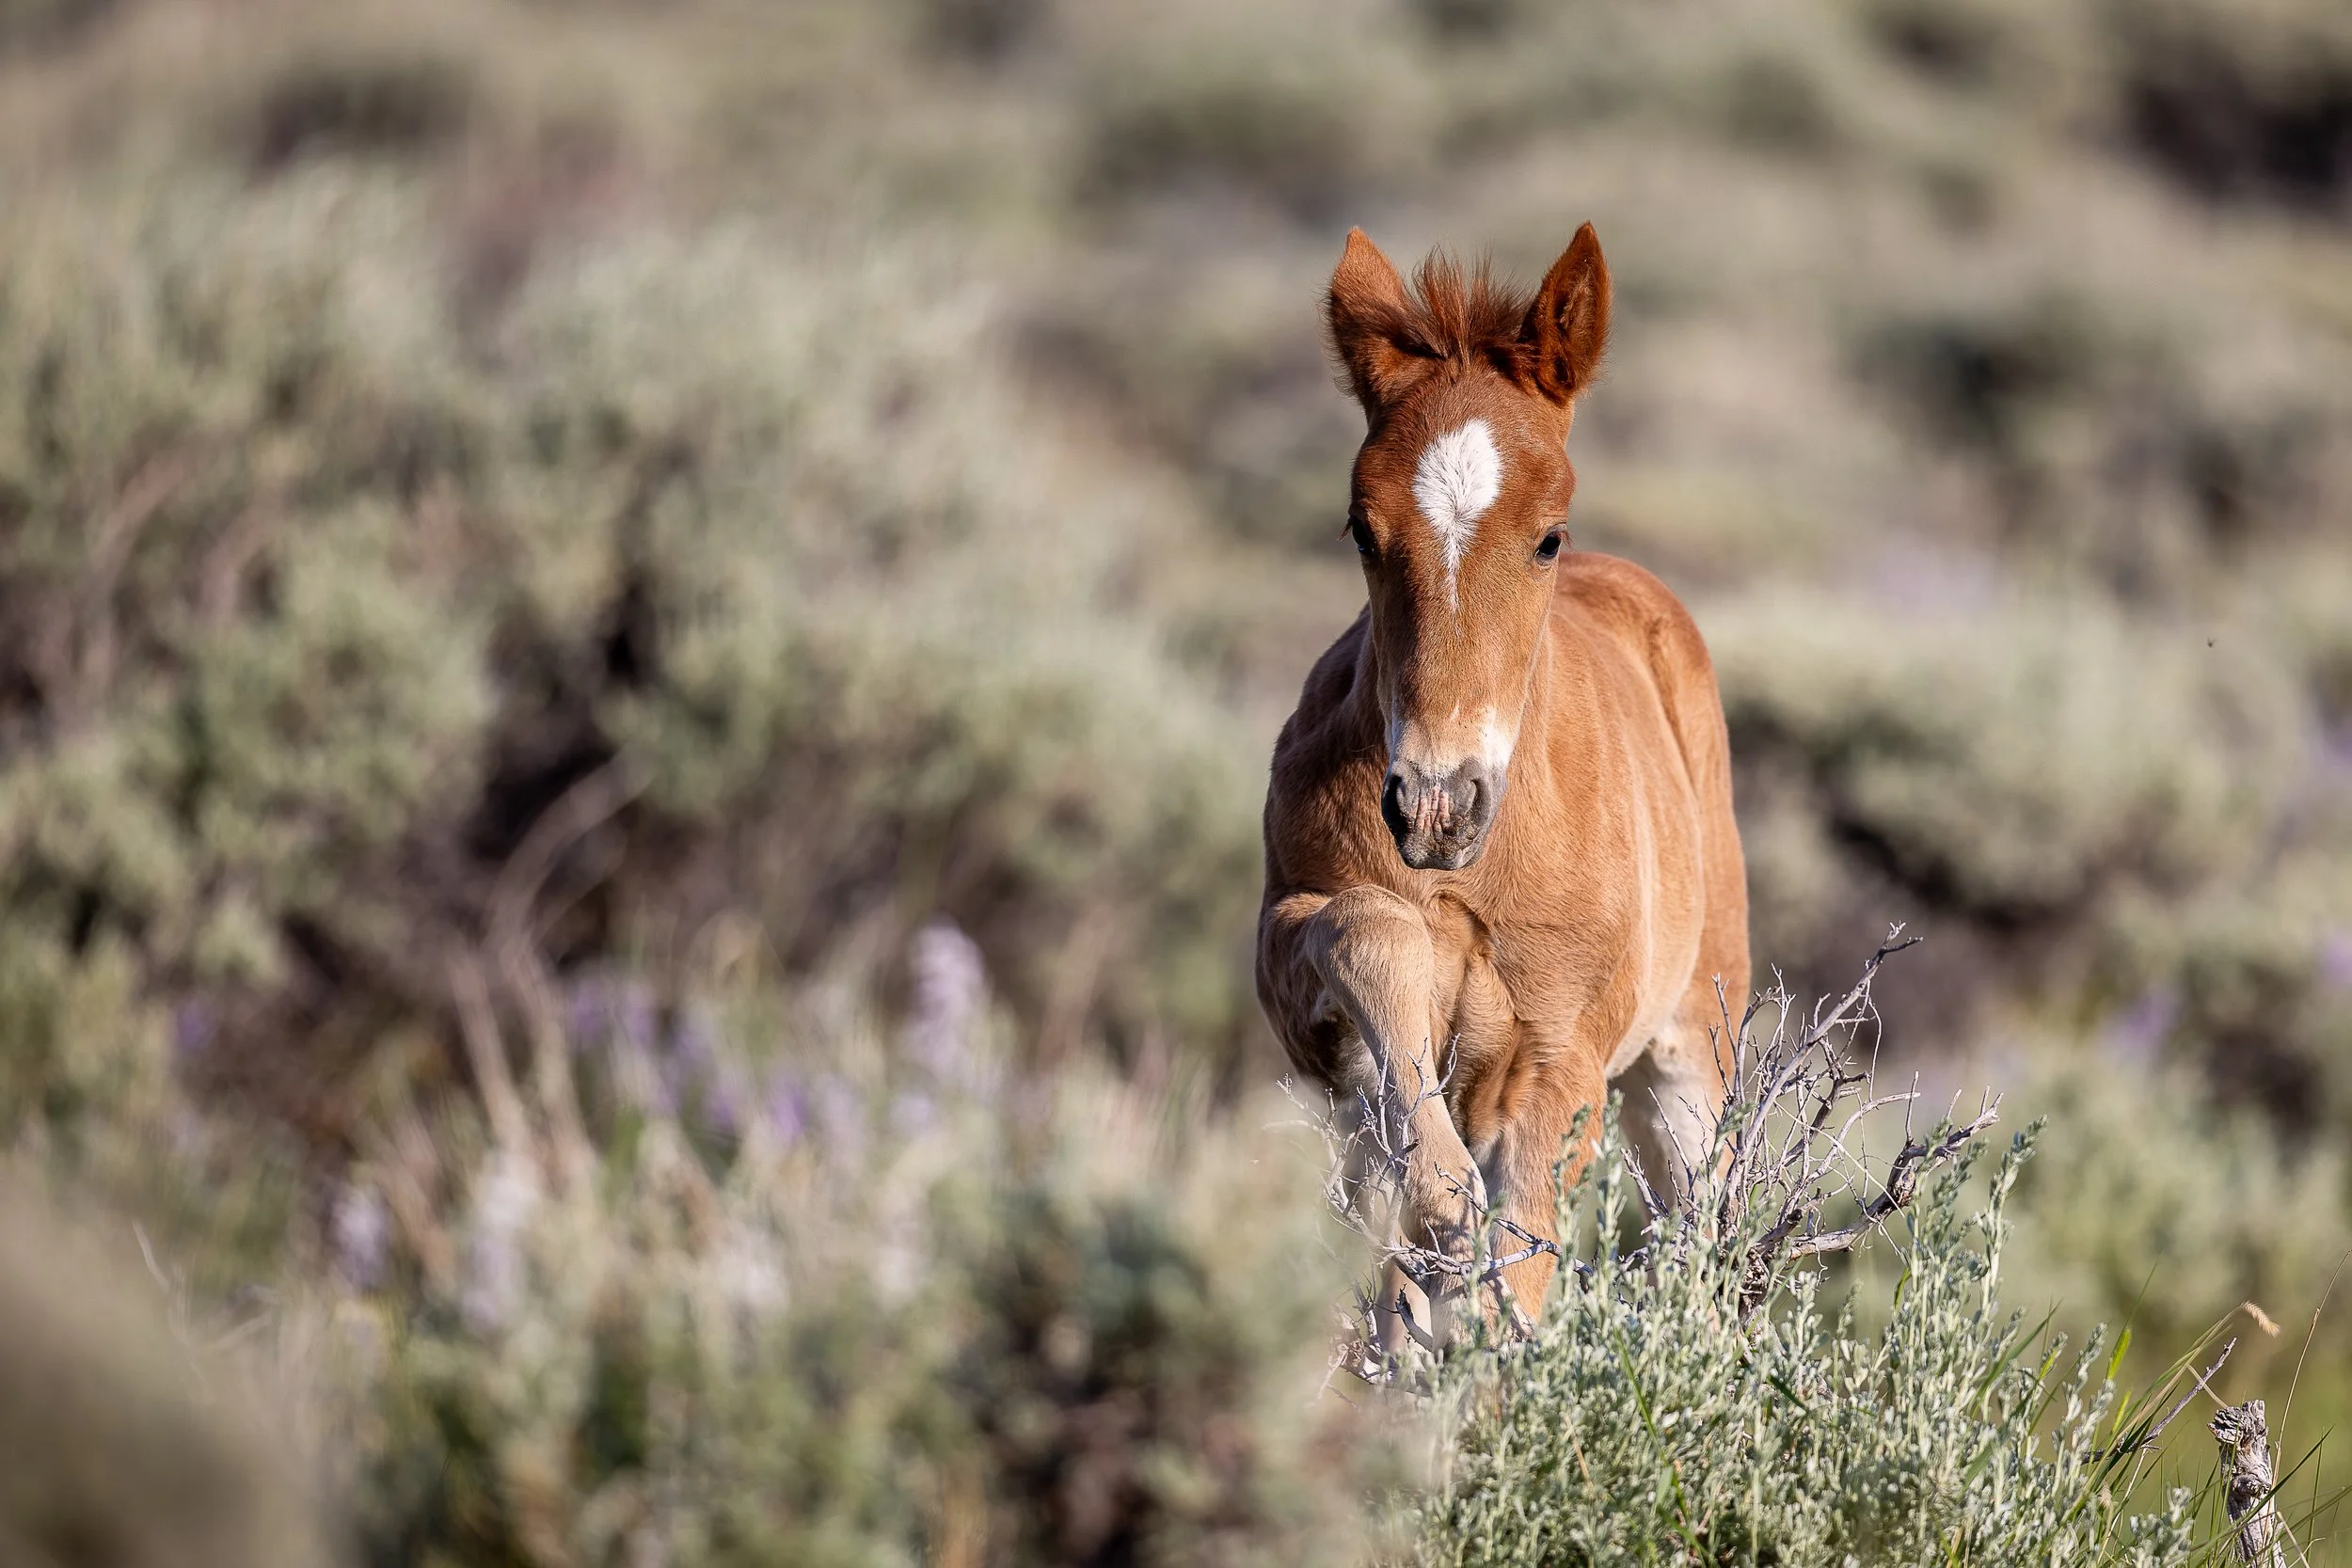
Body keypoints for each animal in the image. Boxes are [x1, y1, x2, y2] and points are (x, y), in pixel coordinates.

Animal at [1255, 223, 1749, 1334]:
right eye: (1361, 528)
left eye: (1547, 534)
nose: (1437, 803)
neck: (1469, 873)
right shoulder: (1292, 976)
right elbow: (1369, 927)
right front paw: (1441, 1206)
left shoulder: (1559, 1065)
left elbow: (1517, 1272)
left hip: (1691, 1054)